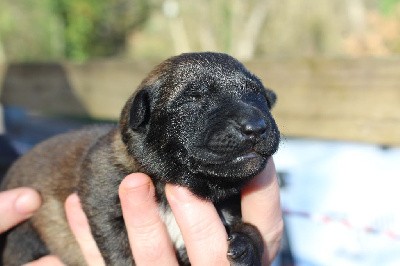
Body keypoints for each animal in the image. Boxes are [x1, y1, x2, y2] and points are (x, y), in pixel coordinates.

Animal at [0, 52, 282, 266]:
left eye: (258, 95)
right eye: (194, 98)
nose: (256, 127)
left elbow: (252, 230)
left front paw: (247, 245)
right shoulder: (102, 201)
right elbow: (118, 248)